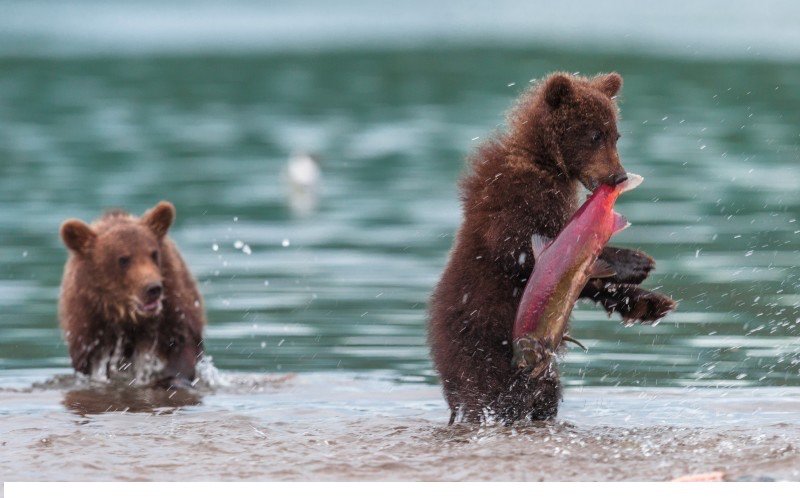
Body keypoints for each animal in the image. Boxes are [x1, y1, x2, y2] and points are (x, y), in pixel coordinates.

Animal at [59, 201, 205, 389]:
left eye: (153, 253)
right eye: (123, 259)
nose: (153, 288)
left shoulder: (173, 307)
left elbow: (182, 344)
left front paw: (171, 378)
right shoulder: (89, 324)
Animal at [428, 72, 676, 424]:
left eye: (616, 135)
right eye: (595, 134)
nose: (618, 176)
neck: (547, 164)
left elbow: (584, 281)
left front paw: (650, 302)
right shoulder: (516, 201)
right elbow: (524, 253)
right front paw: (634, 261)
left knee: (543, 393)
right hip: (481, 351)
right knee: (498, 396)